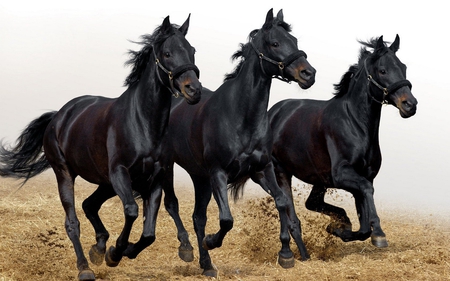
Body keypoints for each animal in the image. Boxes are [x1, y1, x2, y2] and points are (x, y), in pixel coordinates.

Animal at [0, 15, 201, 280]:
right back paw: (85, 267)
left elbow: (149, 232)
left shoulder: (155, 178)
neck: (142, 123)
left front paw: (122, 251)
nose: (194, 90)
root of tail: (59, 116)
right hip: (66, 173)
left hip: (105, 182)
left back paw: (98, 248)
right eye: (167, 53)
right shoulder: (120, 173)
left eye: (192, 51)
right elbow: (132, 210)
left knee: (89, 205)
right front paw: (115, 253)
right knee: (72, 222)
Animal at [162, 8, 316, 276]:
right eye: (275, 43)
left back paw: (207, 265)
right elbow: (226, 219)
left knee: (198, 217)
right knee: (173, 205)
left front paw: (286, 254)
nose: (309, 74)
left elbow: (282, 201)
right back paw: (187, 249)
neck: (241, 117)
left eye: (294, 40)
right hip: (170, 166)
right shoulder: (218, 173)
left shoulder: (263, 168)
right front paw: (211, 241)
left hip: (200, 177)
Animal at [268, 34, 418, 252]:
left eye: (403, 67)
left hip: (319, 179)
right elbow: (367, 192)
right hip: (282, 171)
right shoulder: (343, 175)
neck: (355, 124)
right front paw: (379, 234)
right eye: (383, 70)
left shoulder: (363, 176)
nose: (410, 105)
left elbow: (363, 227)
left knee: (312, 203)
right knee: (292, 216)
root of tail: (272, 113)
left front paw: (339, 229)